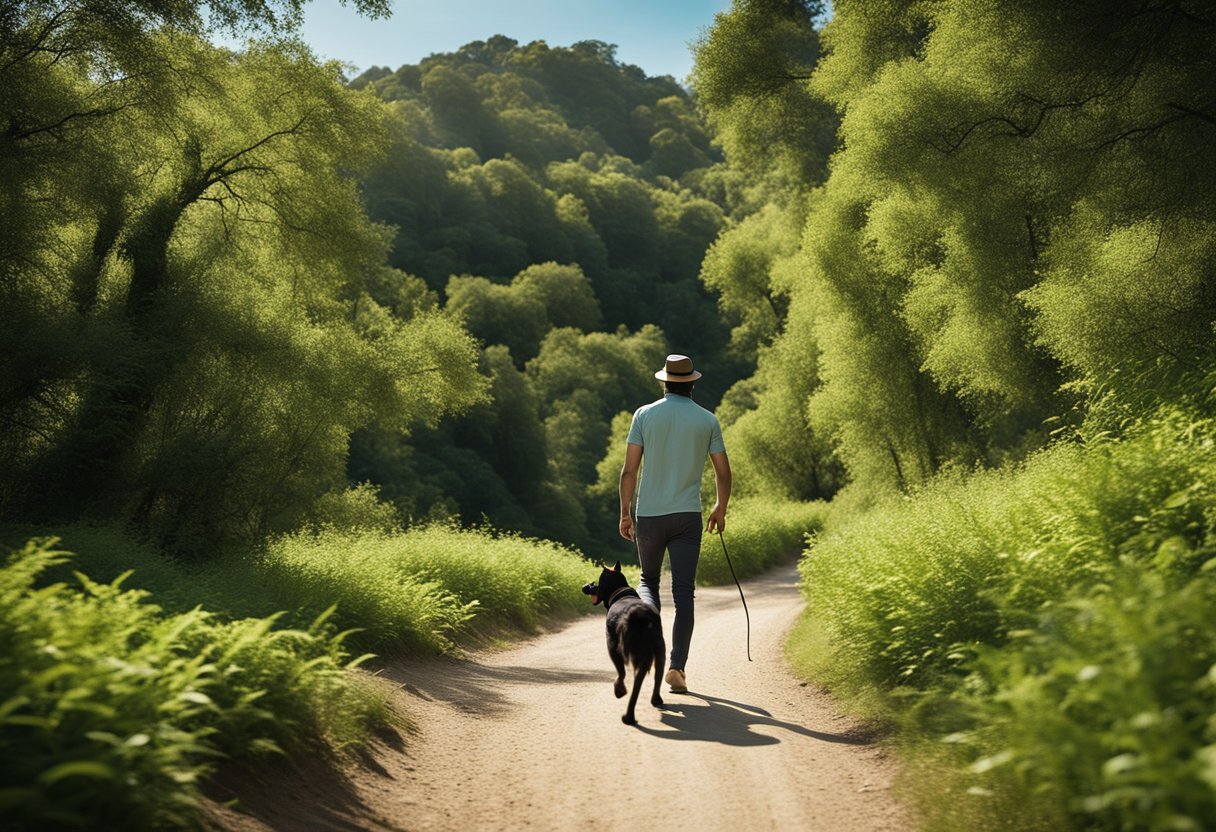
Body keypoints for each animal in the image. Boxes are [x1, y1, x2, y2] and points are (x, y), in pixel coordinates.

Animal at [581, 561, 666, 724]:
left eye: (598, 581)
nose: (585, 586)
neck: (621, 592)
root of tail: (641, 616)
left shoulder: (611, 643)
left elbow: (621, 673)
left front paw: (619, 690)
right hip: (659, 652)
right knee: (655, 678)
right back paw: (655, 700)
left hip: (624, 649)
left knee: (627, 677)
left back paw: (628, 714)